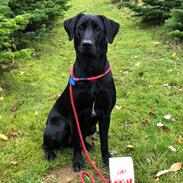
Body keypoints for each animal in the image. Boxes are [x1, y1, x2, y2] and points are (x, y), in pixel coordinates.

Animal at [43, 13, 120, 172]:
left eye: (98, 29)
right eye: (80, 28)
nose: (87, 44)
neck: (91, 73)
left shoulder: (105, 115)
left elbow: (104, 141)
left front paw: (107, 159)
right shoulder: (75, 115)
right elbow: (77, 144)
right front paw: (78, 161)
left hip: (91, 127)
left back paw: (88, 146)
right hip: (57, 127)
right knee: (48, 144)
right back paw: (49, 154)